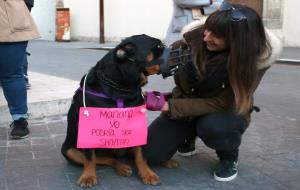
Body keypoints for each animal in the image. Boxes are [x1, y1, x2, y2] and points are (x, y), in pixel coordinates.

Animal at [60, 34, 176, 187]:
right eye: (158, 46)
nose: (184, 46)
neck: (121, 88)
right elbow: (90, 158)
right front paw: (88, 176)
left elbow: (141, 155)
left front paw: (147, 173)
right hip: (69, 151)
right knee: (103, 159)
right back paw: (121, 167)